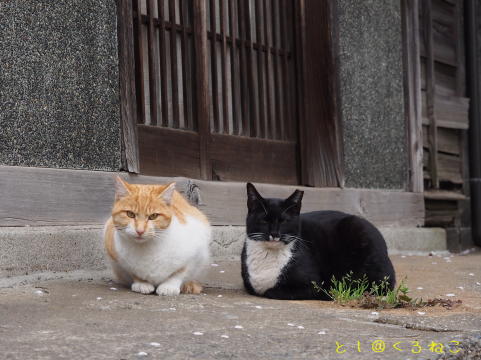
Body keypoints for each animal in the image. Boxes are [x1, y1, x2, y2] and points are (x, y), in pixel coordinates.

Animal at [240, 184, 394, 300]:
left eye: (284, 221)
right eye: (264, 220)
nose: (274, 234)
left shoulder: (311, 285)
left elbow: (271, 292)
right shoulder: (249, 284)